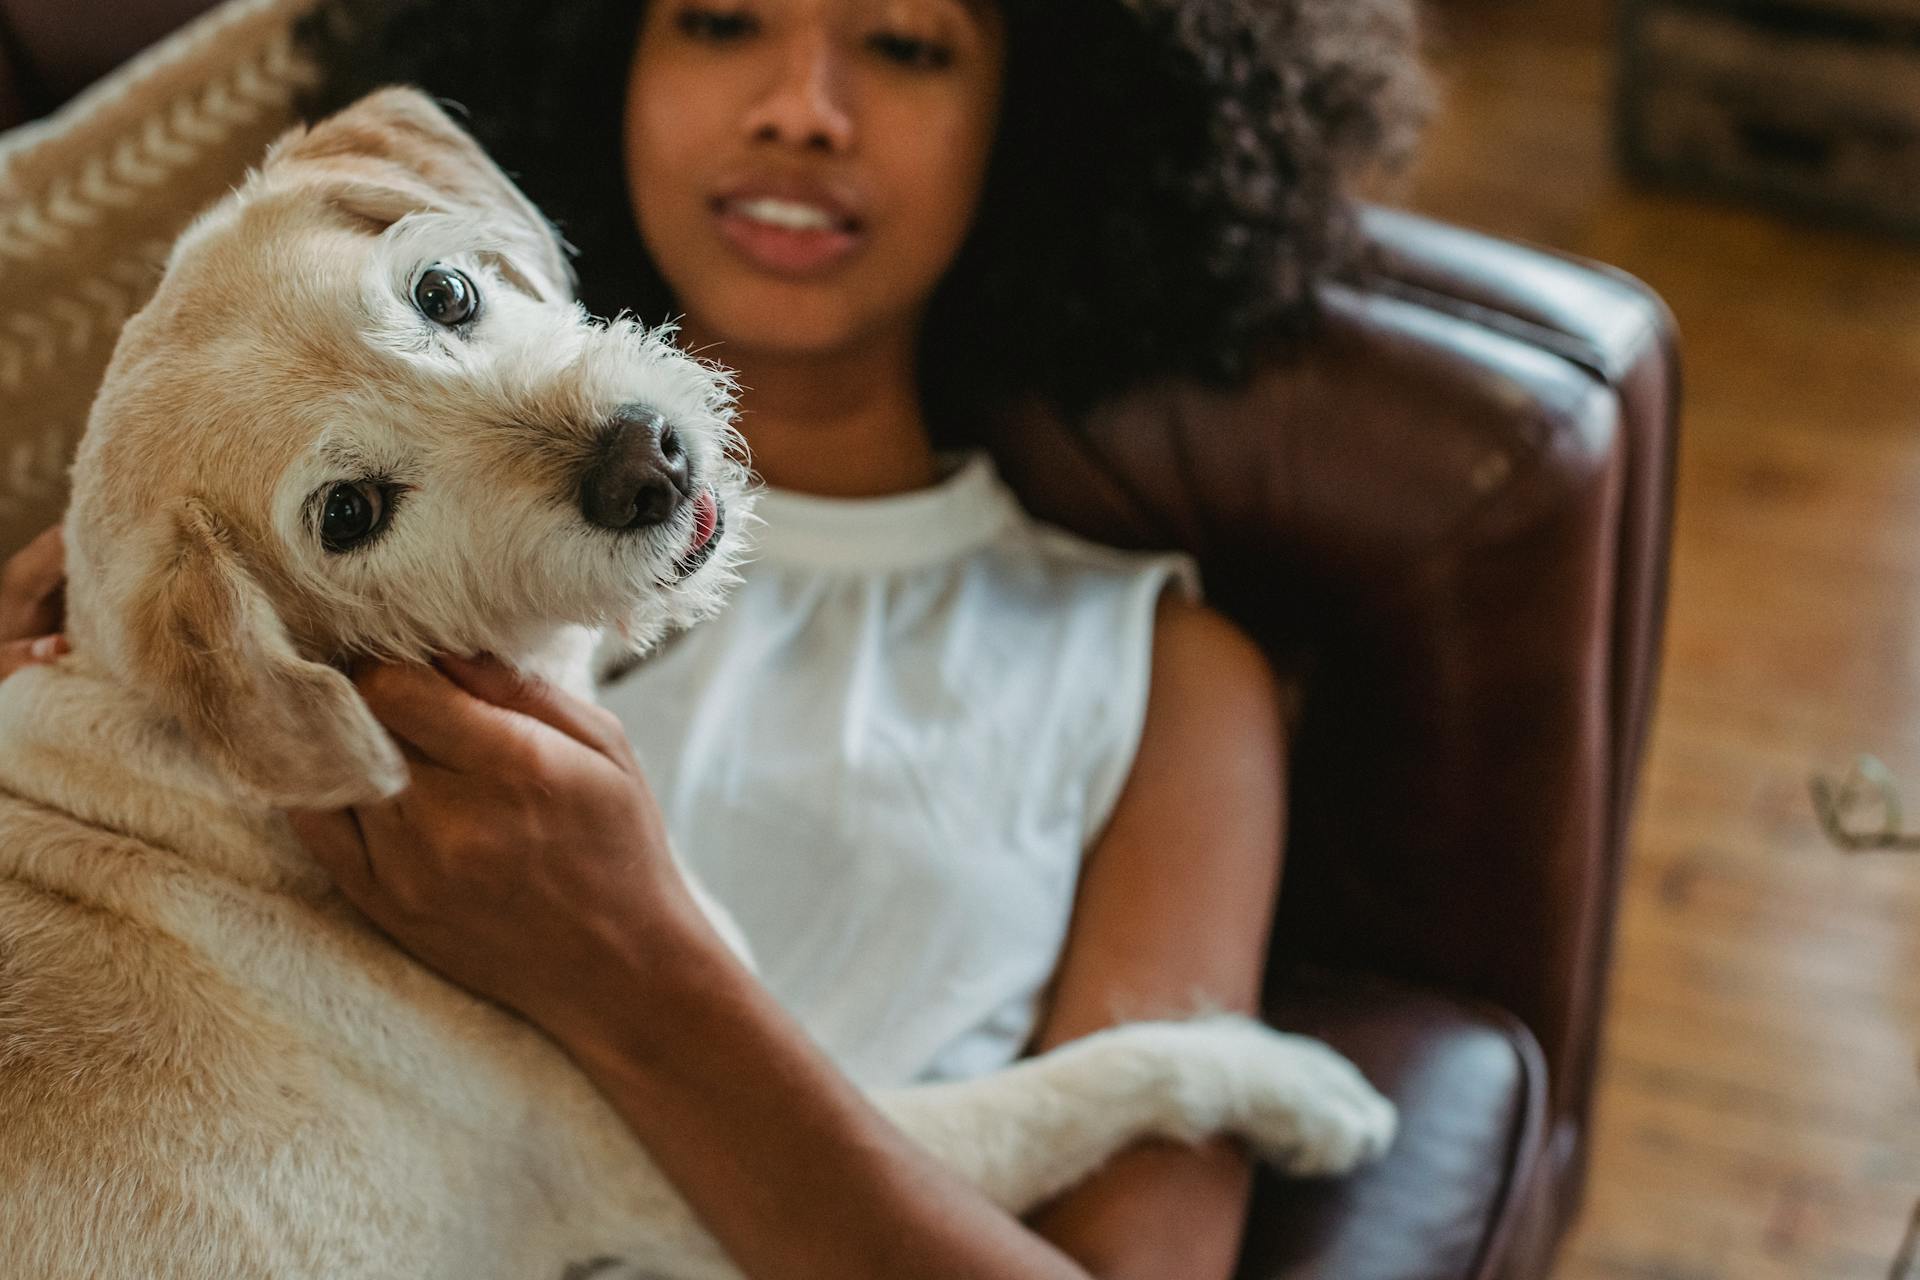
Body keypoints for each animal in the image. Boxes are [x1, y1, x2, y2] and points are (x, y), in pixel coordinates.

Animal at [0, 90, 1390, 1280]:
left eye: (443, 290)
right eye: (348, 513)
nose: (646, 462)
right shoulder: (710, 1167)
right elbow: (1076, 1079)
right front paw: (1287, 1081)